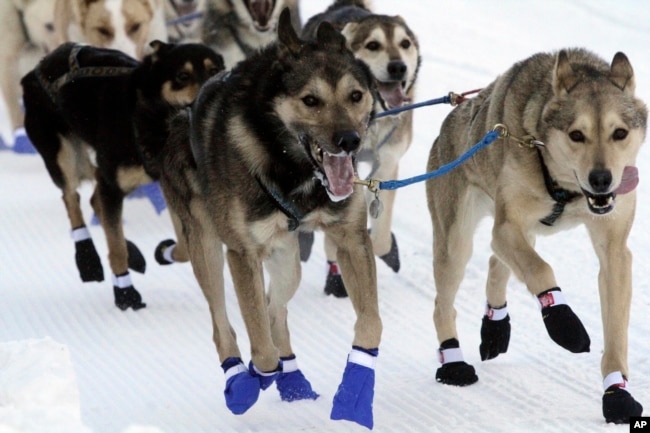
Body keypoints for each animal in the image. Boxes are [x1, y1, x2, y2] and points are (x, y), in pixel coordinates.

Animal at [21, 40, 224, 308]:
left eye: (214, 70)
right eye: (183, 76)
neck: (145, 115)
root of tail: (38, 66)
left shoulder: (165, 184)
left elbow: (182, 245)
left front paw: (166, 253)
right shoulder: (112, 185)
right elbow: (116, 249)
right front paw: (125, 292)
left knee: (95, 202)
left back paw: (133, 254)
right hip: (64, 158)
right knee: (72, 198)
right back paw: (88, 259)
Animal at [158, 8, 380, 426]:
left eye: (356, 96)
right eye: (311, 100)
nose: (349, 140)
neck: (291, 168)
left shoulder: (351, 239)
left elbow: (371, 325)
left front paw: (354, 394)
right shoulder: (241, 254)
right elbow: (261, 351)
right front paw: (252, 378)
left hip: (288, 261)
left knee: (275, 311)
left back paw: (293, 380)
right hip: (207, 250)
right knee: (224, 323)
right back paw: (239, 378)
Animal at [298, 0, 420, 296]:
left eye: (405, 43)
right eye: (373, 45)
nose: (398, 67)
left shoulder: (387, 162)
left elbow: (380, 237)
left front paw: (383, 246)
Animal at [426, 47, 644, 422]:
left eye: (619, 133)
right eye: (576, 135)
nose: (602, 179)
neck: (567, 190)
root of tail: (448, 123)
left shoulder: (614, 250)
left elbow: (616, 333)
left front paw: (617, 393)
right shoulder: (507, 226)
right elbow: (541, 270)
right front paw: (563, 322)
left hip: (519, 232)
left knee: (497, 265)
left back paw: (495, 328)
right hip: (457, 241)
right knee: (444, 304)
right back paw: (453, 363)